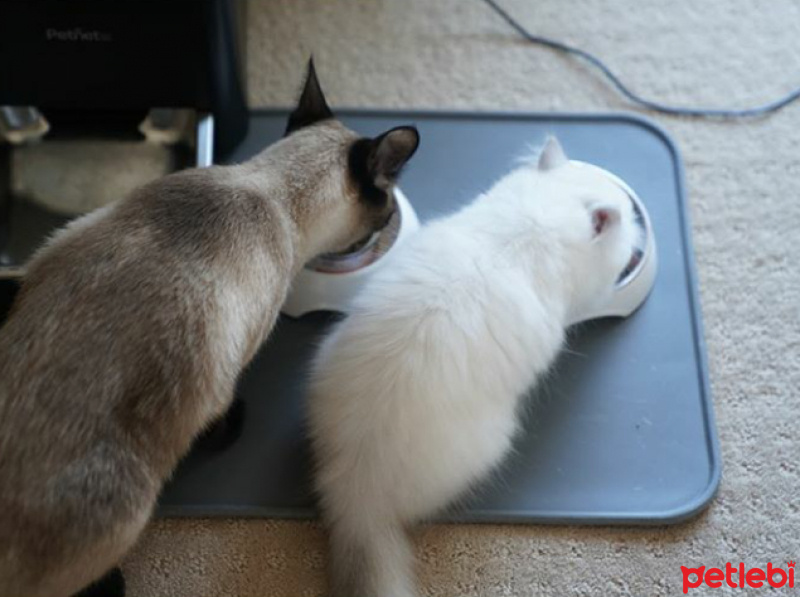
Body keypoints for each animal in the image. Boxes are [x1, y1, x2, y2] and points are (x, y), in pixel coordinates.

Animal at [0, 61, 422, 596]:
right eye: (384, 208)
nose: (386, 221)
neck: (272, 192)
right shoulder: (224, 369)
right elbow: (219, 412)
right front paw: (229, 429)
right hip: (127, 516)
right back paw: (111, 584)